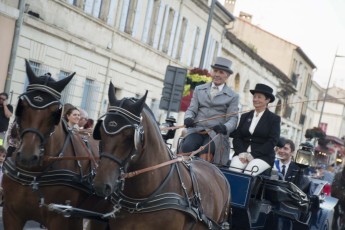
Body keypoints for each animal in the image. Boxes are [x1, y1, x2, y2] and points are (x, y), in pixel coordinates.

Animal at [2, 60, 107, 229]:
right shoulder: (11, 214)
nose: (27, 156)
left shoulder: (59, 218)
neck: (33, 174)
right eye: (22, 107)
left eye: (54, 112)